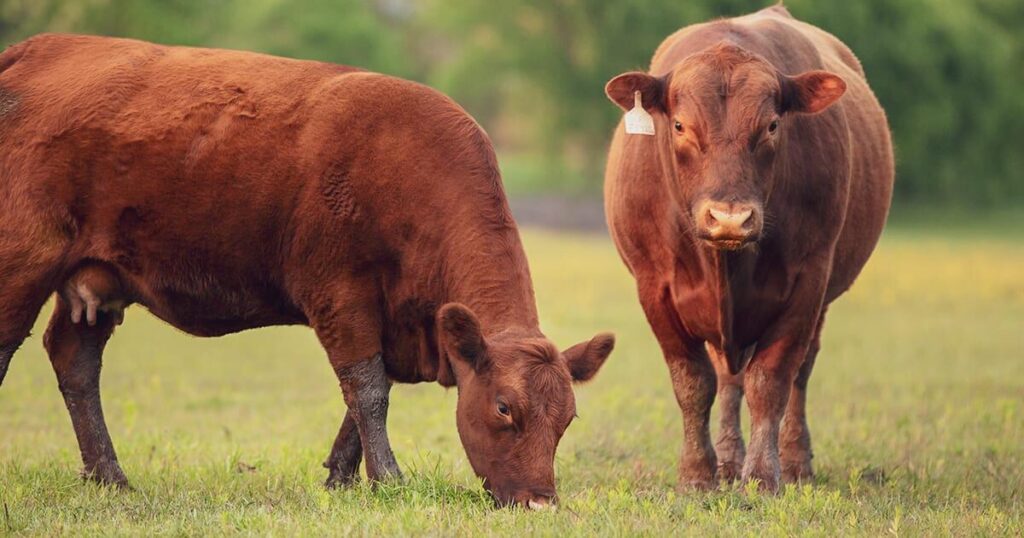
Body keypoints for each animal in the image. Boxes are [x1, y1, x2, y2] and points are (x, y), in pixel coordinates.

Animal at [0, 34, 615, 509]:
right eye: (504, 407)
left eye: (568, 418)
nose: (540, 501)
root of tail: (34, 49)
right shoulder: (339, 294)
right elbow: (367, 389)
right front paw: (389, 480)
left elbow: (363, 396)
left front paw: (342, 478)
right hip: (24, 257)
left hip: (96, 278)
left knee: (75, 359)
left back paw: (111, 477)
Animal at [603, 5, 893, 492]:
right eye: (680, 125)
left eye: (772, 125)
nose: (729, 218)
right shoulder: (655, 287)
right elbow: (694, 382)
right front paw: (697, 474)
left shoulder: (807, 283)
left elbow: (771, 381)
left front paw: (761, 475)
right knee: (727, 377)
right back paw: (726, 459)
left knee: (798, 373)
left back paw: (794, 461)